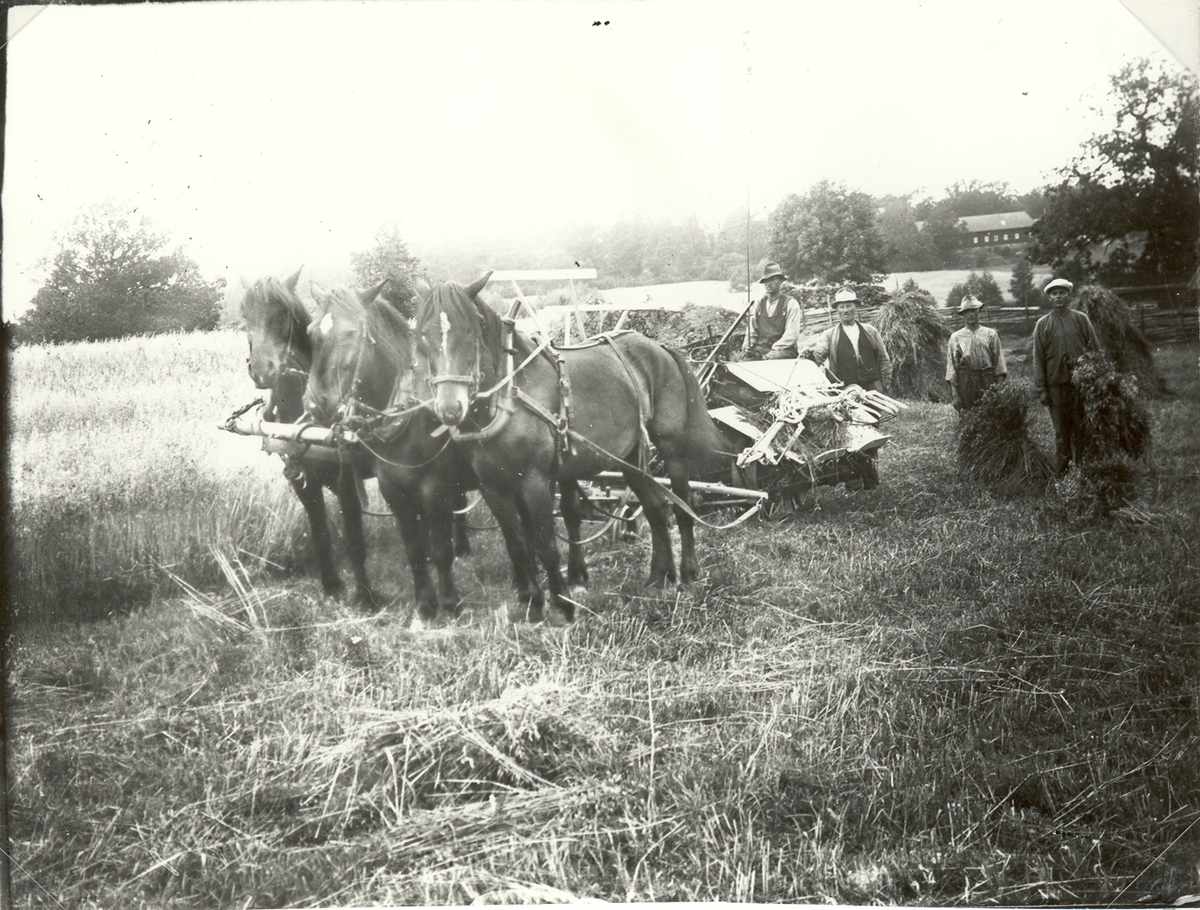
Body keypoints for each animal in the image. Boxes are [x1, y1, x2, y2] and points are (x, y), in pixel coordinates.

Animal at [243, 271, 388, 612]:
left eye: (283, 315)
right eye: (244, 315)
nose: (262, 371)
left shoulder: (345, 478)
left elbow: (354, 538)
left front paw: (365, 596)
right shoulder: (301, 478)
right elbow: (320, 532)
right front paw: (331, 585)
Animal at [304, 285, 477, 629]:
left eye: (351, 333)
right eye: (310, 332)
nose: (316, 404)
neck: (406, 411)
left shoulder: (435, 487)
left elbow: (441, 549)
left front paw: (449, 604)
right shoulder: (394, 489)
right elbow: (413, 548)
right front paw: (425, 605)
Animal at [412, 274, 729, 624]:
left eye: (470, 331)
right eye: (422, 335)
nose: (449, 409)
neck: (508, 397)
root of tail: (657, 347)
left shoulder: (536, 482)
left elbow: (546, 545)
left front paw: (562, 602)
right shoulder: (493, 488)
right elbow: (518, 546)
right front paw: (531, 602)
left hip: (671, 447)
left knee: (683, 507)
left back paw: (686, 573)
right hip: (629, 456)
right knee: (655, 508)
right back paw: (659, 576)